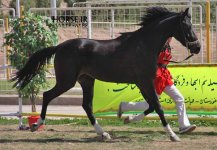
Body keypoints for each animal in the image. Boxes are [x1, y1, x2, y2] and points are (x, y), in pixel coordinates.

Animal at [12, 6, 200, 141]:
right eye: (186, 26)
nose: (197, 47)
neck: (144, 45)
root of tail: (60, 46)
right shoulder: (145, 81)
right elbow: (158, 107)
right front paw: (173, 135)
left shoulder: (143, 83)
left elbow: (152, 106)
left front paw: (128, 118)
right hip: (67, 81)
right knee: (47, 95)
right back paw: (37, 125)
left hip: (86, 80)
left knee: (86, 106)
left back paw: (103, 134)